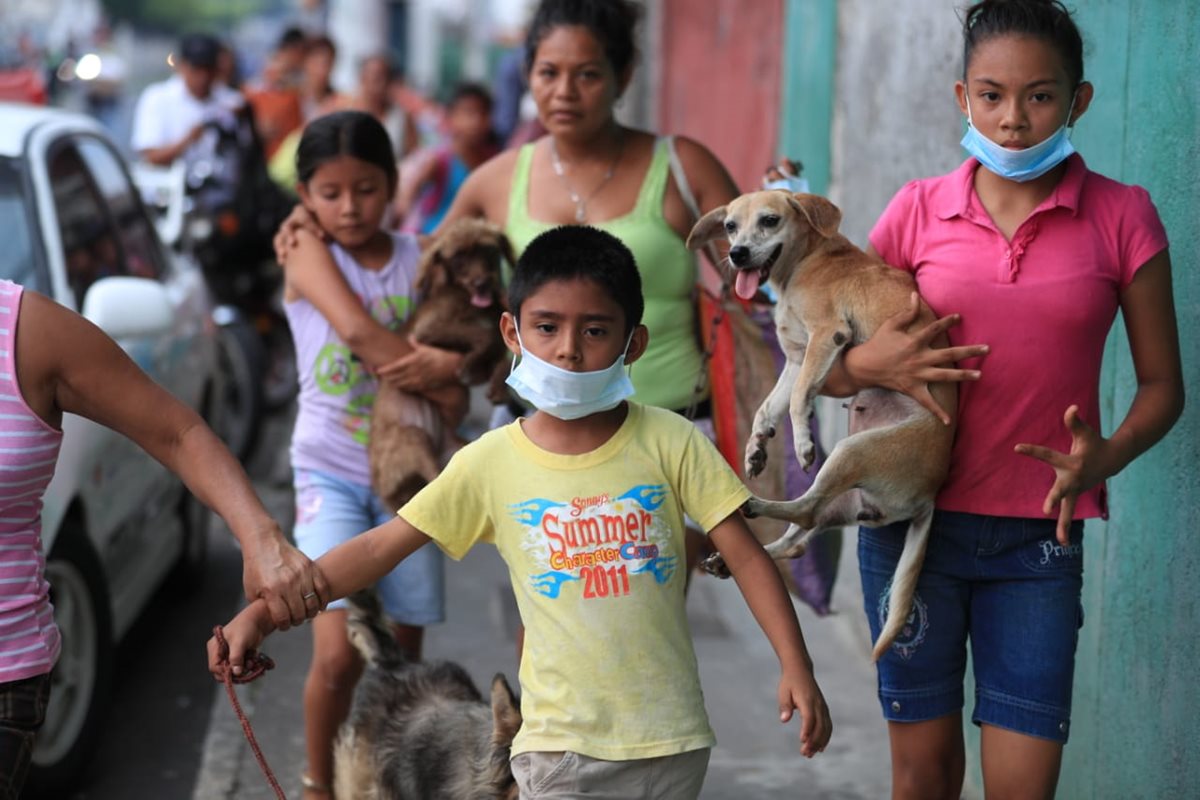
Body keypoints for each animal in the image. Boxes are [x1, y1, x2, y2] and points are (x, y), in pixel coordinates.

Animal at [367, 217, 513, 506]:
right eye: (458, 259)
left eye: (489, 251)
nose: (482, 283)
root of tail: (385, 492)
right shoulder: (428, 330)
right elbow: (484, 334)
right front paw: (468, 366)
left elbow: (498, 354)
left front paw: (498, 386)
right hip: (414, 437)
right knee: (433, 483)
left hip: (457, 448)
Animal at [686, 190, 955, 662]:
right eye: (730, 227)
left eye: (770, 221)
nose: (737, 255)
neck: (806, 260)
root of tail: (929, 497)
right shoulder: (796, 356)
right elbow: (768, 407)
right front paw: (756, 448)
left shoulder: (826, 337)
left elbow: (796, 401)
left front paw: (802, 444)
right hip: (842, 497)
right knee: (798, 537)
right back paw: (731, 556)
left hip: (852, 452)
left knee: (806, 509)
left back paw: (754, 504)